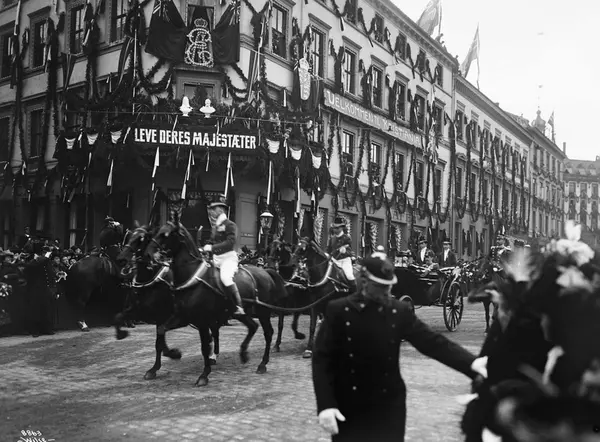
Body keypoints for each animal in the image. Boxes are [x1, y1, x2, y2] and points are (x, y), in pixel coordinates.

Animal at [143, 217, 289, 386]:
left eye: (166, 234)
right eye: (157, 231)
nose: (148, 254)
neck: (192, 277)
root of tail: (265, 271)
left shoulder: (202, 321)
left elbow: (205, 347)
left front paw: (204, 375)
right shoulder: (182, 317)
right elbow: (161, 332)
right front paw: (172, 355)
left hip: (263, 312)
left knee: (268, 333)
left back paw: (263, 363)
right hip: (241, 313)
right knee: (253, 326)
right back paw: (244, 353)